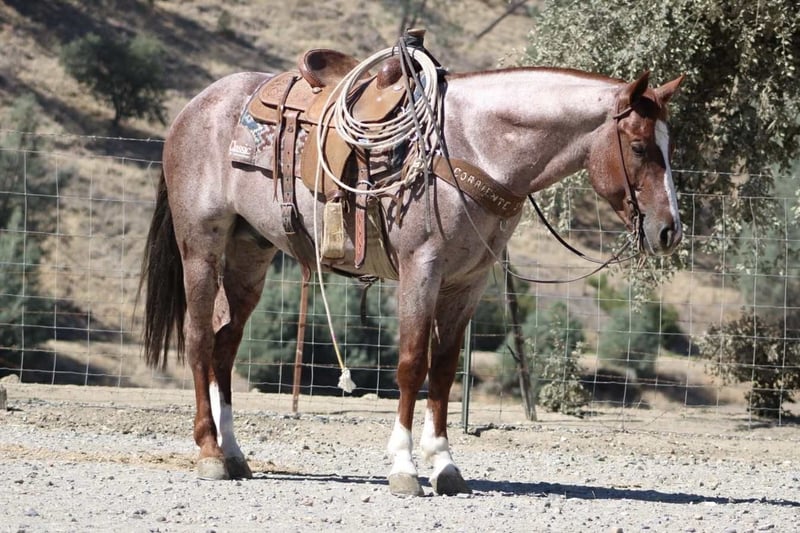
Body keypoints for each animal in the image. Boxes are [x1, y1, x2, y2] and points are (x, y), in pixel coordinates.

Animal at [139, 46, 684, 496]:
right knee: (199, 339)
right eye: (639, 147)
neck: (472, 144)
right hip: (201, 246)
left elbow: (442, 370)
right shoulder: (421, 268)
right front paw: (403, 468)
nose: (669, 230)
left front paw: (444, 466)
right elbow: (409, 365)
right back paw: (210, 453)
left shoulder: (467, 282)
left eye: (669, 146)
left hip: (249, 253)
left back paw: (235, 454)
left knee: (225, 344)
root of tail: (194, 108)